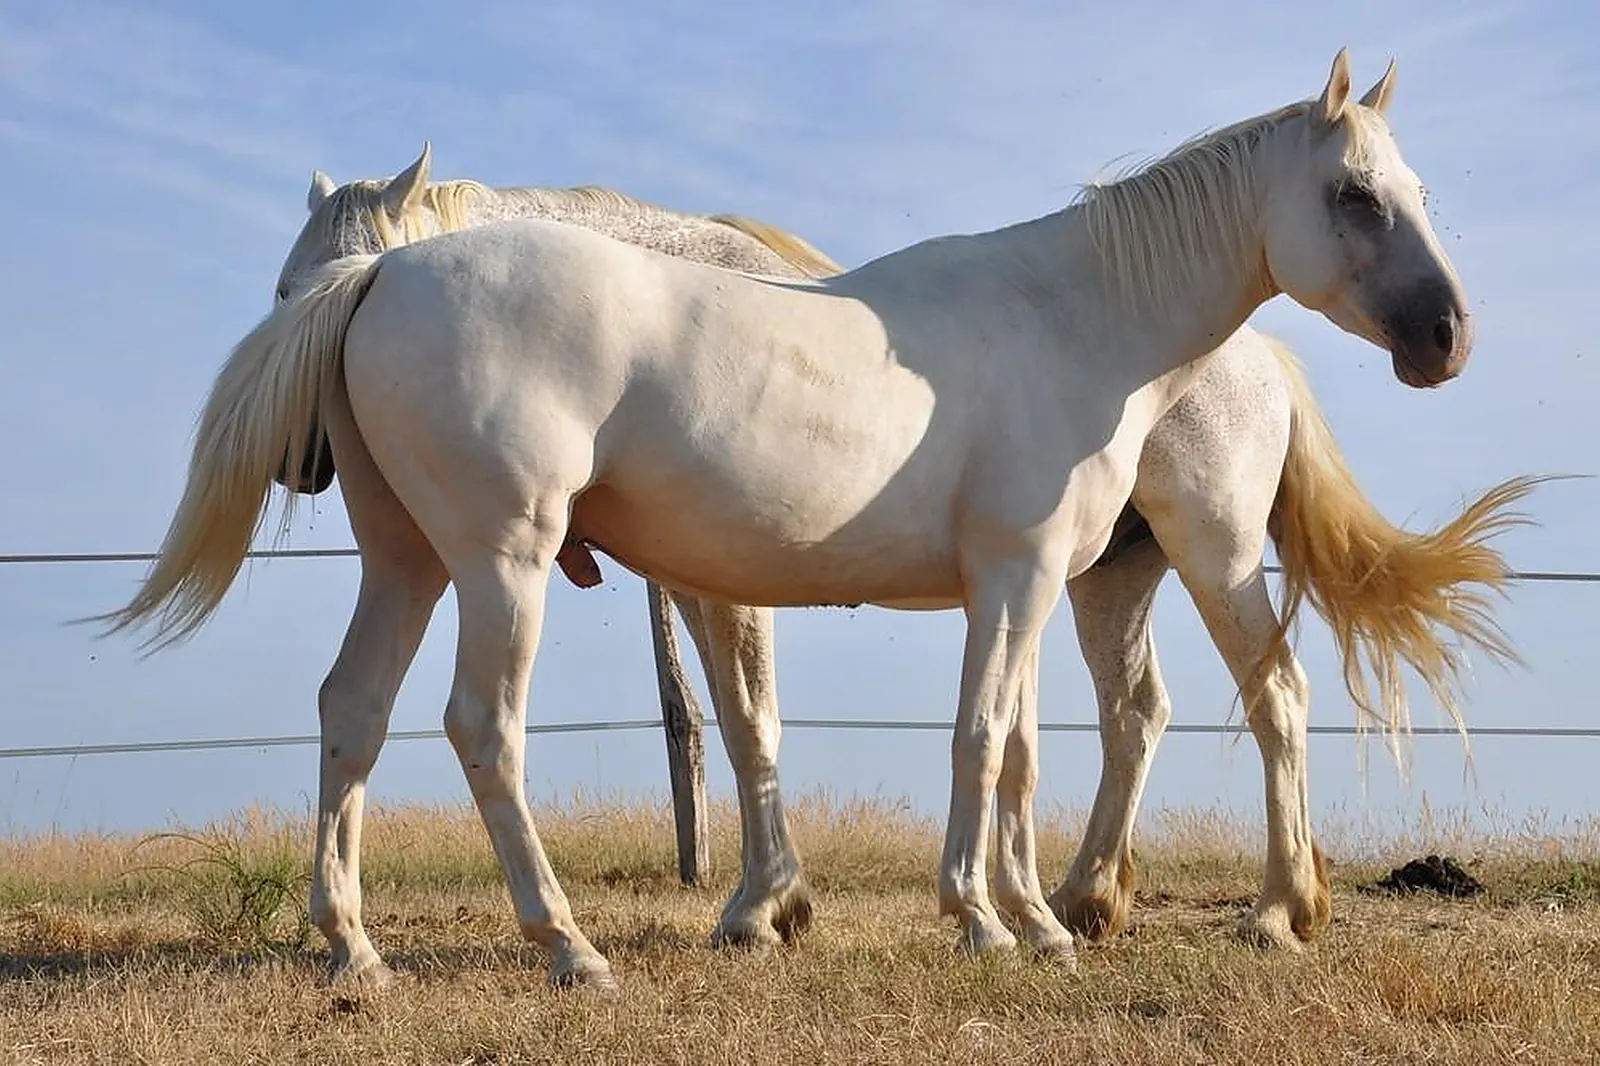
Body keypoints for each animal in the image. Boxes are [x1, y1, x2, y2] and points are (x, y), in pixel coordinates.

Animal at [101, 51, 1488, 988]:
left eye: (1414, 187)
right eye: (1354, 195)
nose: (1446, 337)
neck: (1077, 312)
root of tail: (387, 270)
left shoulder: (1026, 580)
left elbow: (1004, 748)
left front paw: (1018, 918)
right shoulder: (1009, 578)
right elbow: (971, 740)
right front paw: (979, 919)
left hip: (412, 563)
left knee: (353, 713)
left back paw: (353, 947)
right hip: (502, 563)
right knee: (478, 728)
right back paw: (568, 945)